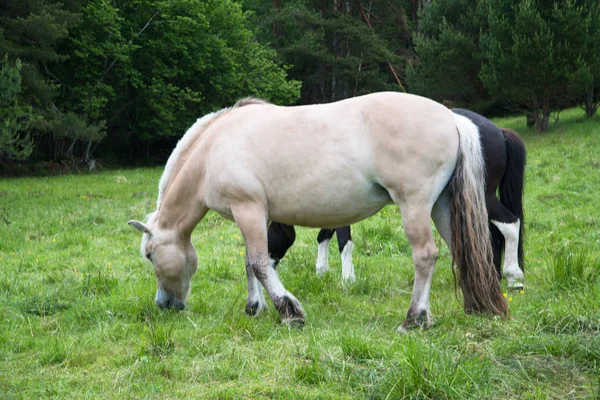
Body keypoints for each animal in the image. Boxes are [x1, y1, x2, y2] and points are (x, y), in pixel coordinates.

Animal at [268, 109, 524, 290]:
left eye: (269, 232)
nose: (267, 265)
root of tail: (499, 131)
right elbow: (324, 235)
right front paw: (322, 270)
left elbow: (343, 241)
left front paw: (347, 278)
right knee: (491, 234)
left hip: (482, 196)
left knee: (510, 225)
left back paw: (513, 277)